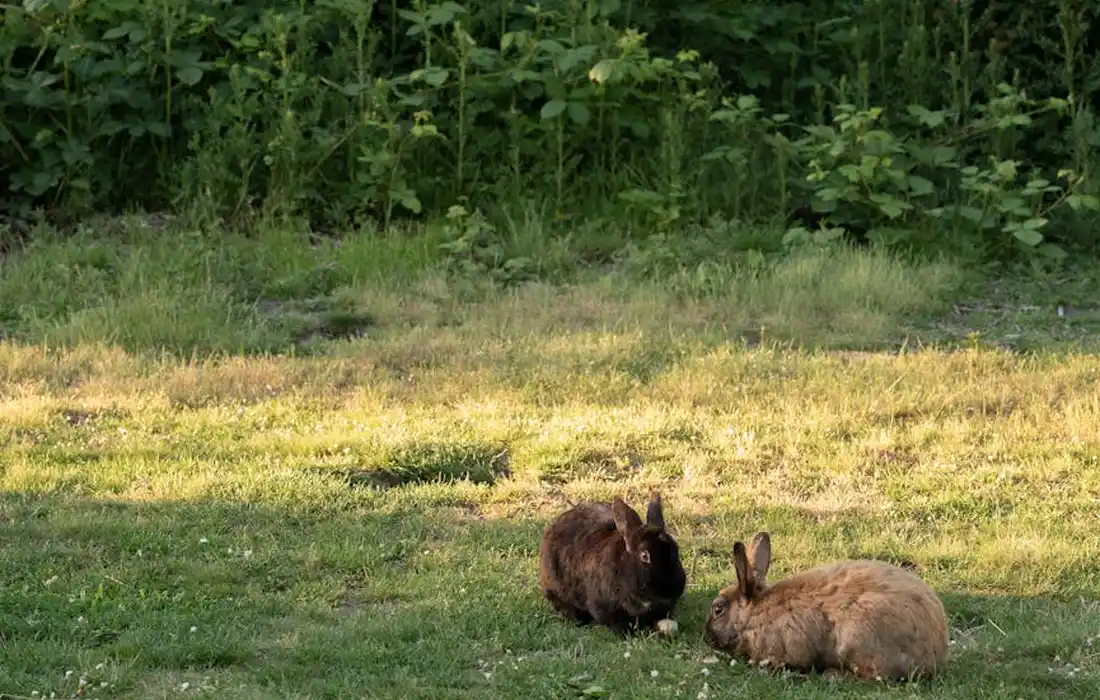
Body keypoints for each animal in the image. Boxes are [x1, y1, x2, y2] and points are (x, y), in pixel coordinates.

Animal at [704, 531, 949, 682]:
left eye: (718, 609)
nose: (707, 638)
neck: (752, 614)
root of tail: (935, 654)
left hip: (857, 641)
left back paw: (832, 676)